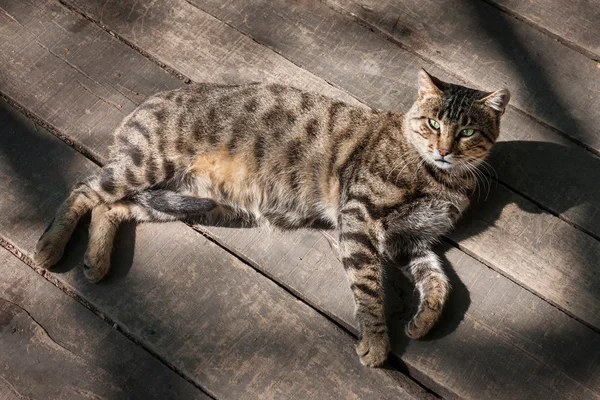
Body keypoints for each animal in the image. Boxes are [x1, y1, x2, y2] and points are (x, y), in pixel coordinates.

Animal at [34, 69, 510, 366]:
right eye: (433, 123)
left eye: (468, 131)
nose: (444, 149)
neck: (442, 179)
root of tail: (149, 99)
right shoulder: (359, 219)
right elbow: (369, 289)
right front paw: (377, 342)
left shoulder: (410, 241)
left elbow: (441, 282)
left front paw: (425, 319)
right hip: (144, 167)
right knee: (84, 189)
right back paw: (50, 246)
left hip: (188, 201)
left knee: (110, 206)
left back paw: (96, 260)